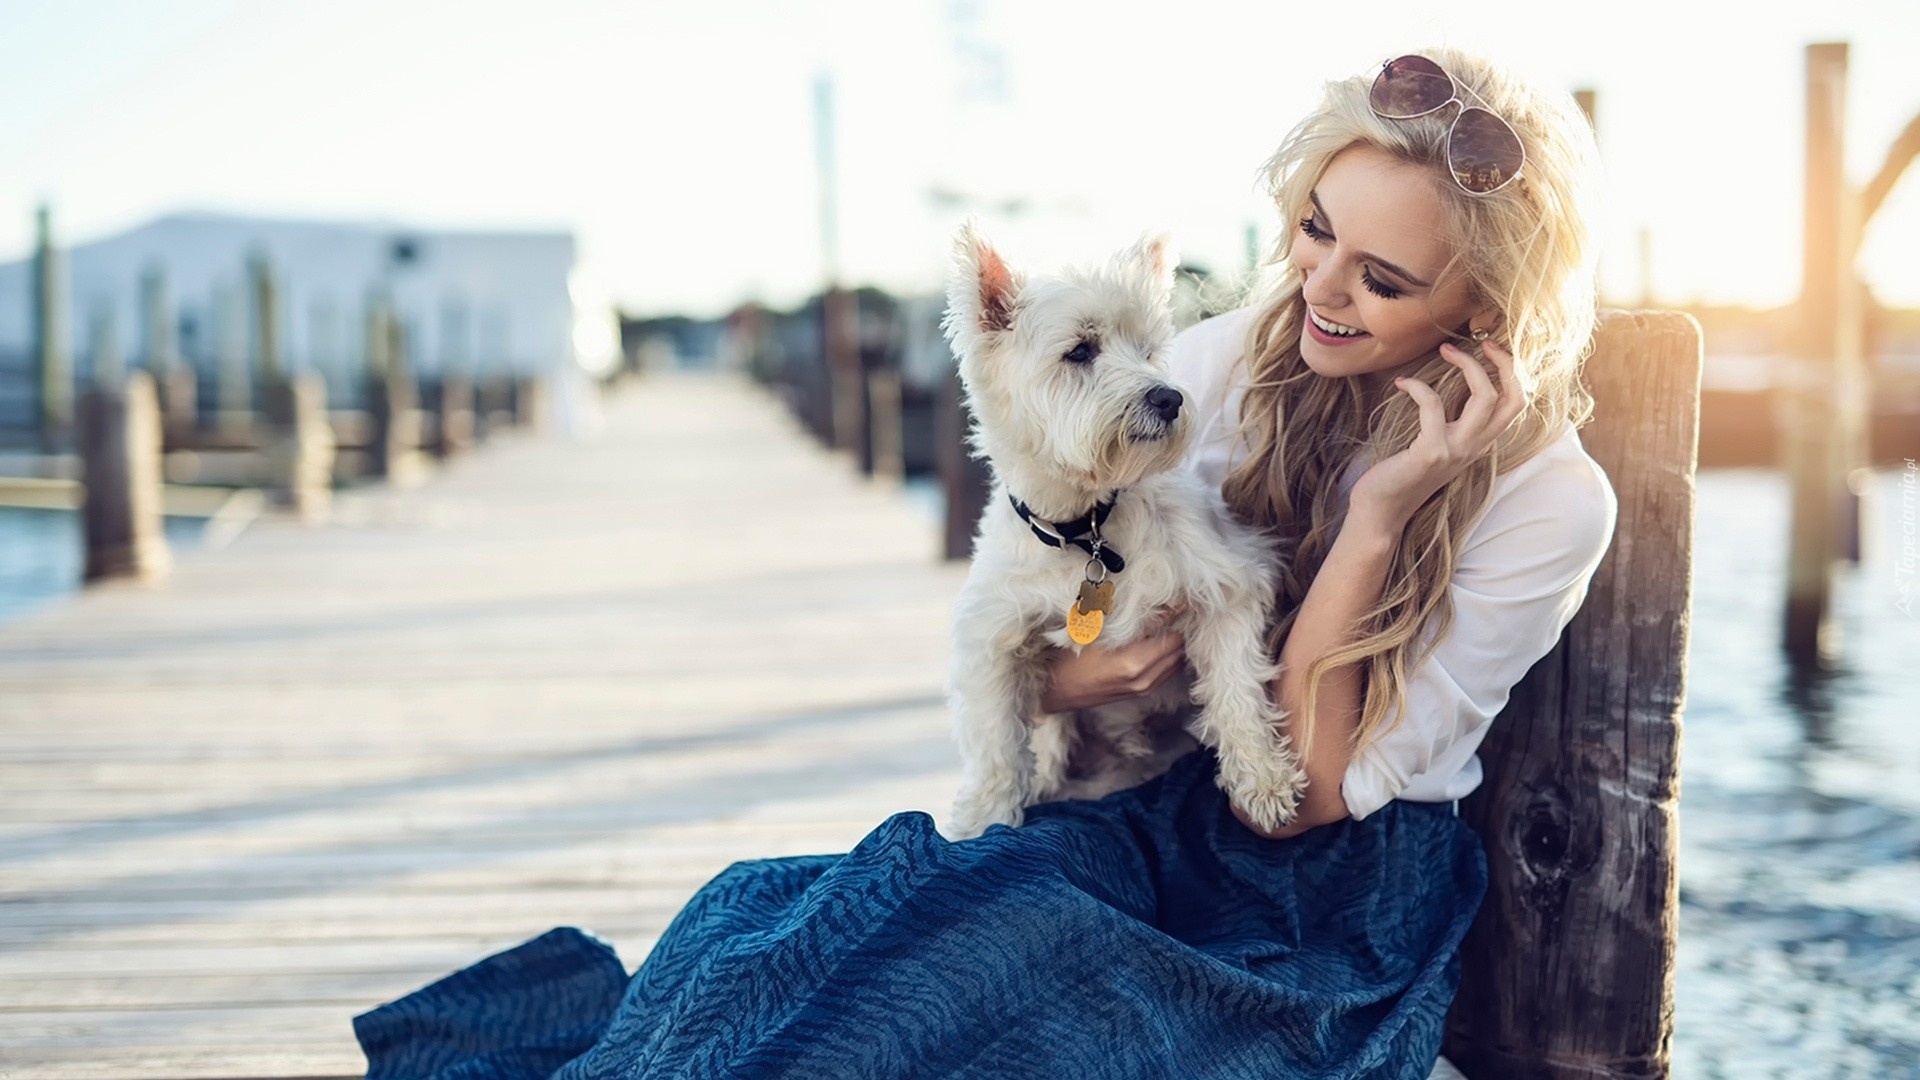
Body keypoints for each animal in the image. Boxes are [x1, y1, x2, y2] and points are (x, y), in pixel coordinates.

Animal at [940, 222, 1313, 837]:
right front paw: (982, 823)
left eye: (1148, 351)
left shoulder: (1229, 583)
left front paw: (1264, 781)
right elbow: (995, 744)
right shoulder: (993, 637)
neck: (1086, 525)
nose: (1169, 397)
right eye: (1080, 351)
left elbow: (1236, 688)